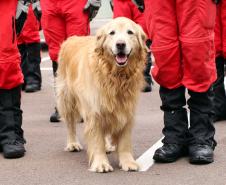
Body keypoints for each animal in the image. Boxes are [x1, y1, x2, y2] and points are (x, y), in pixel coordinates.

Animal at [56, 16, 147, 173]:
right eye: (112, 33)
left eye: (130, 32)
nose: (120, 44)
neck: (115, 76)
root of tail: (71, 39)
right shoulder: (94, 111)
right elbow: (96, 140)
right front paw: (101, 164)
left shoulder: (126, 109)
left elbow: (124, 141)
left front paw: (128, 162)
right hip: (66, 98)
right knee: (70, 123)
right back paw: (72, 143)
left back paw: (108, 146)